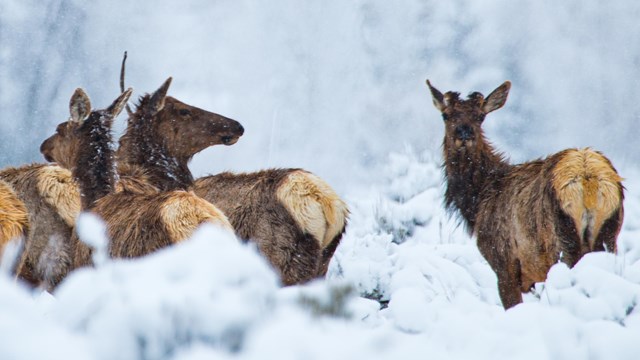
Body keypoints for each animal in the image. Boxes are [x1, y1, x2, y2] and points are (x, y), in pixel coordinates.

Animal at [428, 80, 624, 308]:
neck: (478, 202)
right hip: (609, 234)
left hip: (561, 243)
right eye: (446, 115)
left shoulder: (503, 261)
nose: (464, 134)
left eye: (480, 116)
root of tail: (587, 179)